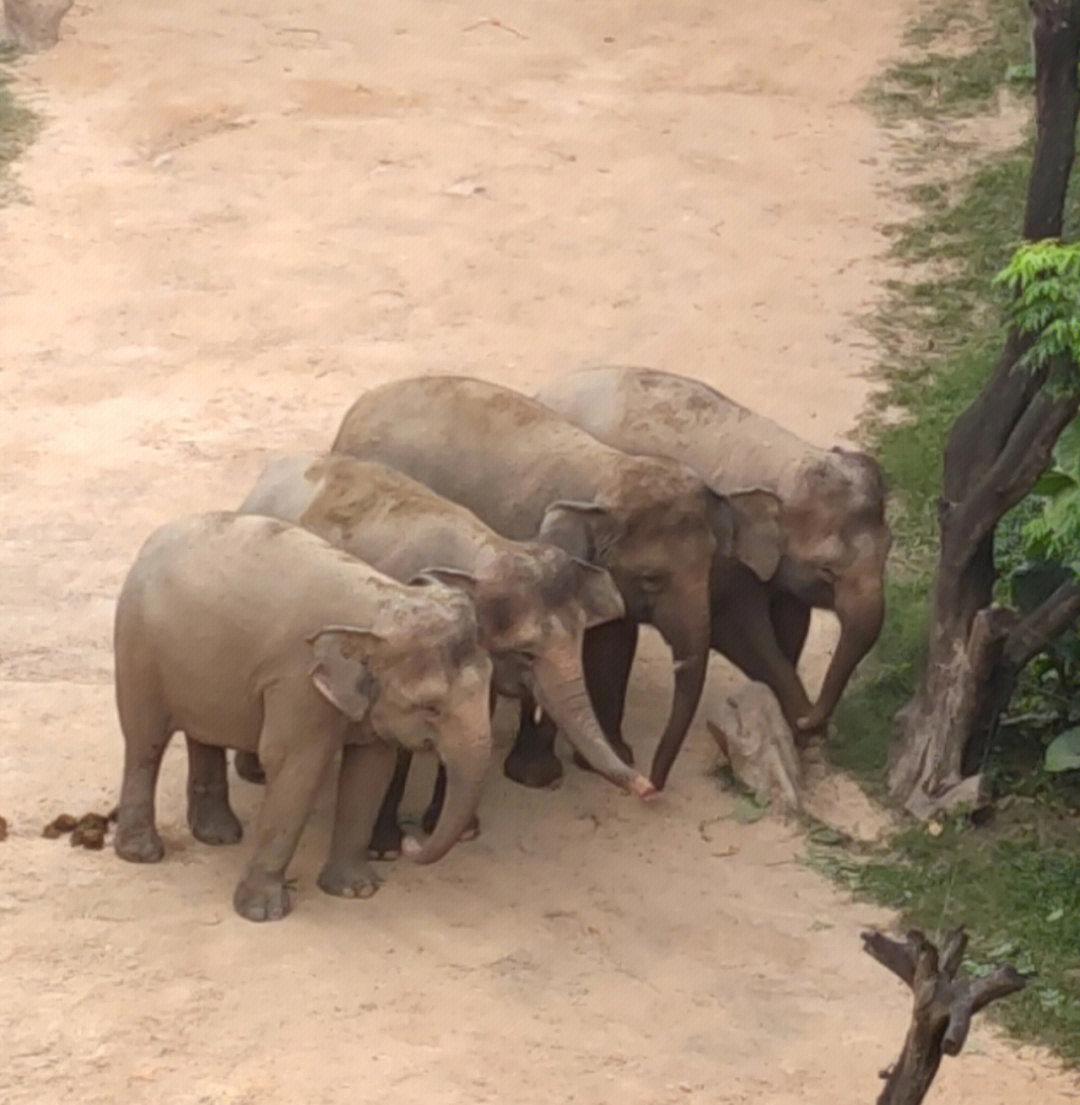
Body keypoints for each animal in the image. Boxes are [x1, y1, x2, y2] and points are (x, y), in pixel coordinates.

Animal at [113, 512, 493, 919]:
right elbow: (296, 769)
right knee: (144, 741)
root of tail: (155, 538)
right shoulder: (297, 685)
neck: (380, 604)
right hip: (137, 645)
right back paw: (142, 854)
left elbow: (370, 771)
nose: (409, 844)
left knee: (204, 734)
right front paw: (263, 913)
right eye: (431, 707)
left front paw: (356, 891)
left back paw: (218, 836)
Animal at [236, 453, 654, 857]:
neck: (488, 552)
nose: (648, 788)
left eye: (580, 638)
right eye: (526, 652)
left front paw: (462, 831)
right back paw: (253, 775)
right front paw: (385, 850)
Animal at [324, 375, 778, 791]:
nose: (655, 784)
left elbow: (613, 642)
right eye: (652, 578)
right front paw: (536, 775)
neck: (609, 472)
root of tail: (360, 405)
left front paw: (605, 756)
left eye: (711, 565)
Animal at [532, 366, 893, 738]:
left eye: (889, 549)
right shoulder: (726, 565)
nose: (819, 722)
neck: (787, 461)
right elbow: (743, 637)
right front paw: (800, 721)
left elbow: (793, 624)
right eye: (827, 570)